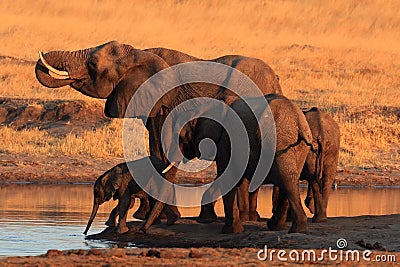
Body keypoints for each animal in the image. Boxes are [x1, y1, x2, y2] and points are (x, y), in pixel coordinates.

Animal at [35, 40, 284, 224]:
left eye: (93, 64)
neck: (139, 54)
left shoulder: (164, 103)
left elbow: (161, 152)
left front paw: (153, 217)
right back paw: (250, 217)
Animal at [141, 94, 316, 234]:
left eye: (181, 136)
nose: (143, 230)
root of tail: (300, 122)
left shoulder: (225, 140)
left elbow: (227, 178)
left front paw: (230, 231)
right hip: (297, 147)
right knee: (290, 179)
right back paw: (282, 227)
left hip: (279, 142)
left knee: (286, 180)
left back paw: (293, 229)